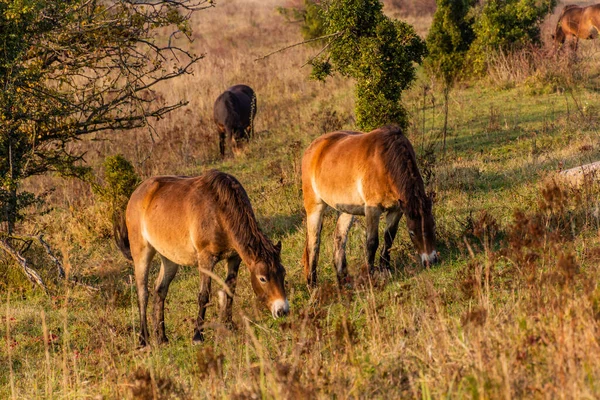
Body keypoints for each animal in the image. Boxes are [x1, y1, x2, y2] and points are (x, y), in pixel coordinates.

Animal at [115, 170, 290, 346]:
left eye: (283, 274)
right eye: (262, 279)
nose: (282, 310)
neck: (219, 209)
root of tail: (137, 193)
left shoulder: (234, 258)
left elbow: (229, 289)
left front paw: (229, 325)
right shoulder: (206, 259)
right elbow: (204, 295)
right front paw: (198, 336)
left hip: (169, 257)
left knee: (160, 290)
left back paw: (162, 338)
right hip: (141, 252)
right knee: (142, 293)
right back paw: (143, 340)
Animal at [302, 125, 438, 288]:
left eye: (433, 226)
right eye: (411, 233)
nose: (430, 261)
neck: (384, 162)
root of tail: (313, 148)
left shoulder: (396, 210)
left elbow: (389, 238)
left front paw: (385, 269)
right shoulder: (373, 210)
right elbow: (372, 242)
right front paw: (370, 275)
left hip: (346, 210)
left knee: (339, 239)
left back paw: (344, 281)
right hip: (315, 207)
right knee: (313, 244)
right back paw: (312, 285)